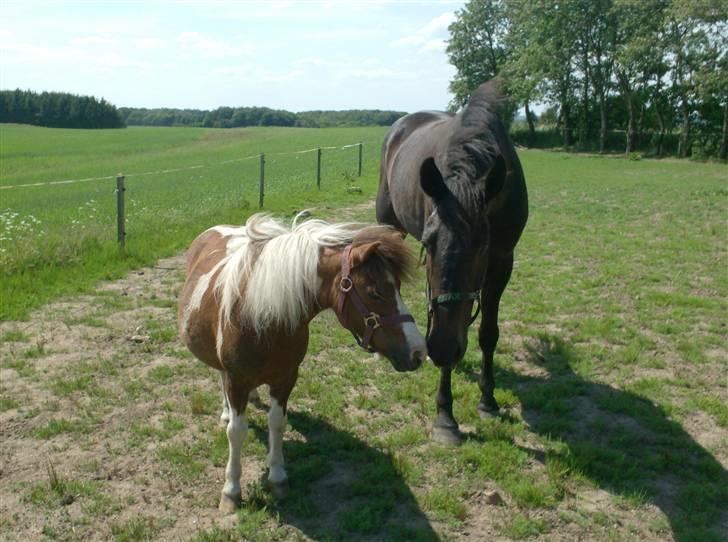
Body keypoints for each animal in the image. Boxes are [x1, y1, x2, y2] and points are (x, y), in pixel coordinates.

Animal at [178, 215, 426, 512]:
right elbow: (236, 432)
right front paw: (231, 491)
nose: (418, 352)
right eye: (375, 292)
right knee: (220, 378)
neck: (262, 317)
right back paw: (226, 411)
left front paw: (278, 479)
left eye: (397, 287)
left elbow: (277, 423)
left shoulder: (286, 378)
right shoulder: (236, 380)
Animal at [376, 82, 528, 446]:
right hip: (388, 223)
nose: (442, 350)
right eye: (429, 242)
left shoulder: (503, 261)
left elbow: (488, 333)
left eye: (482, 245)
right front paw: (445, 416)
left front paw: (488, 400)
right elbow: (441, 319)